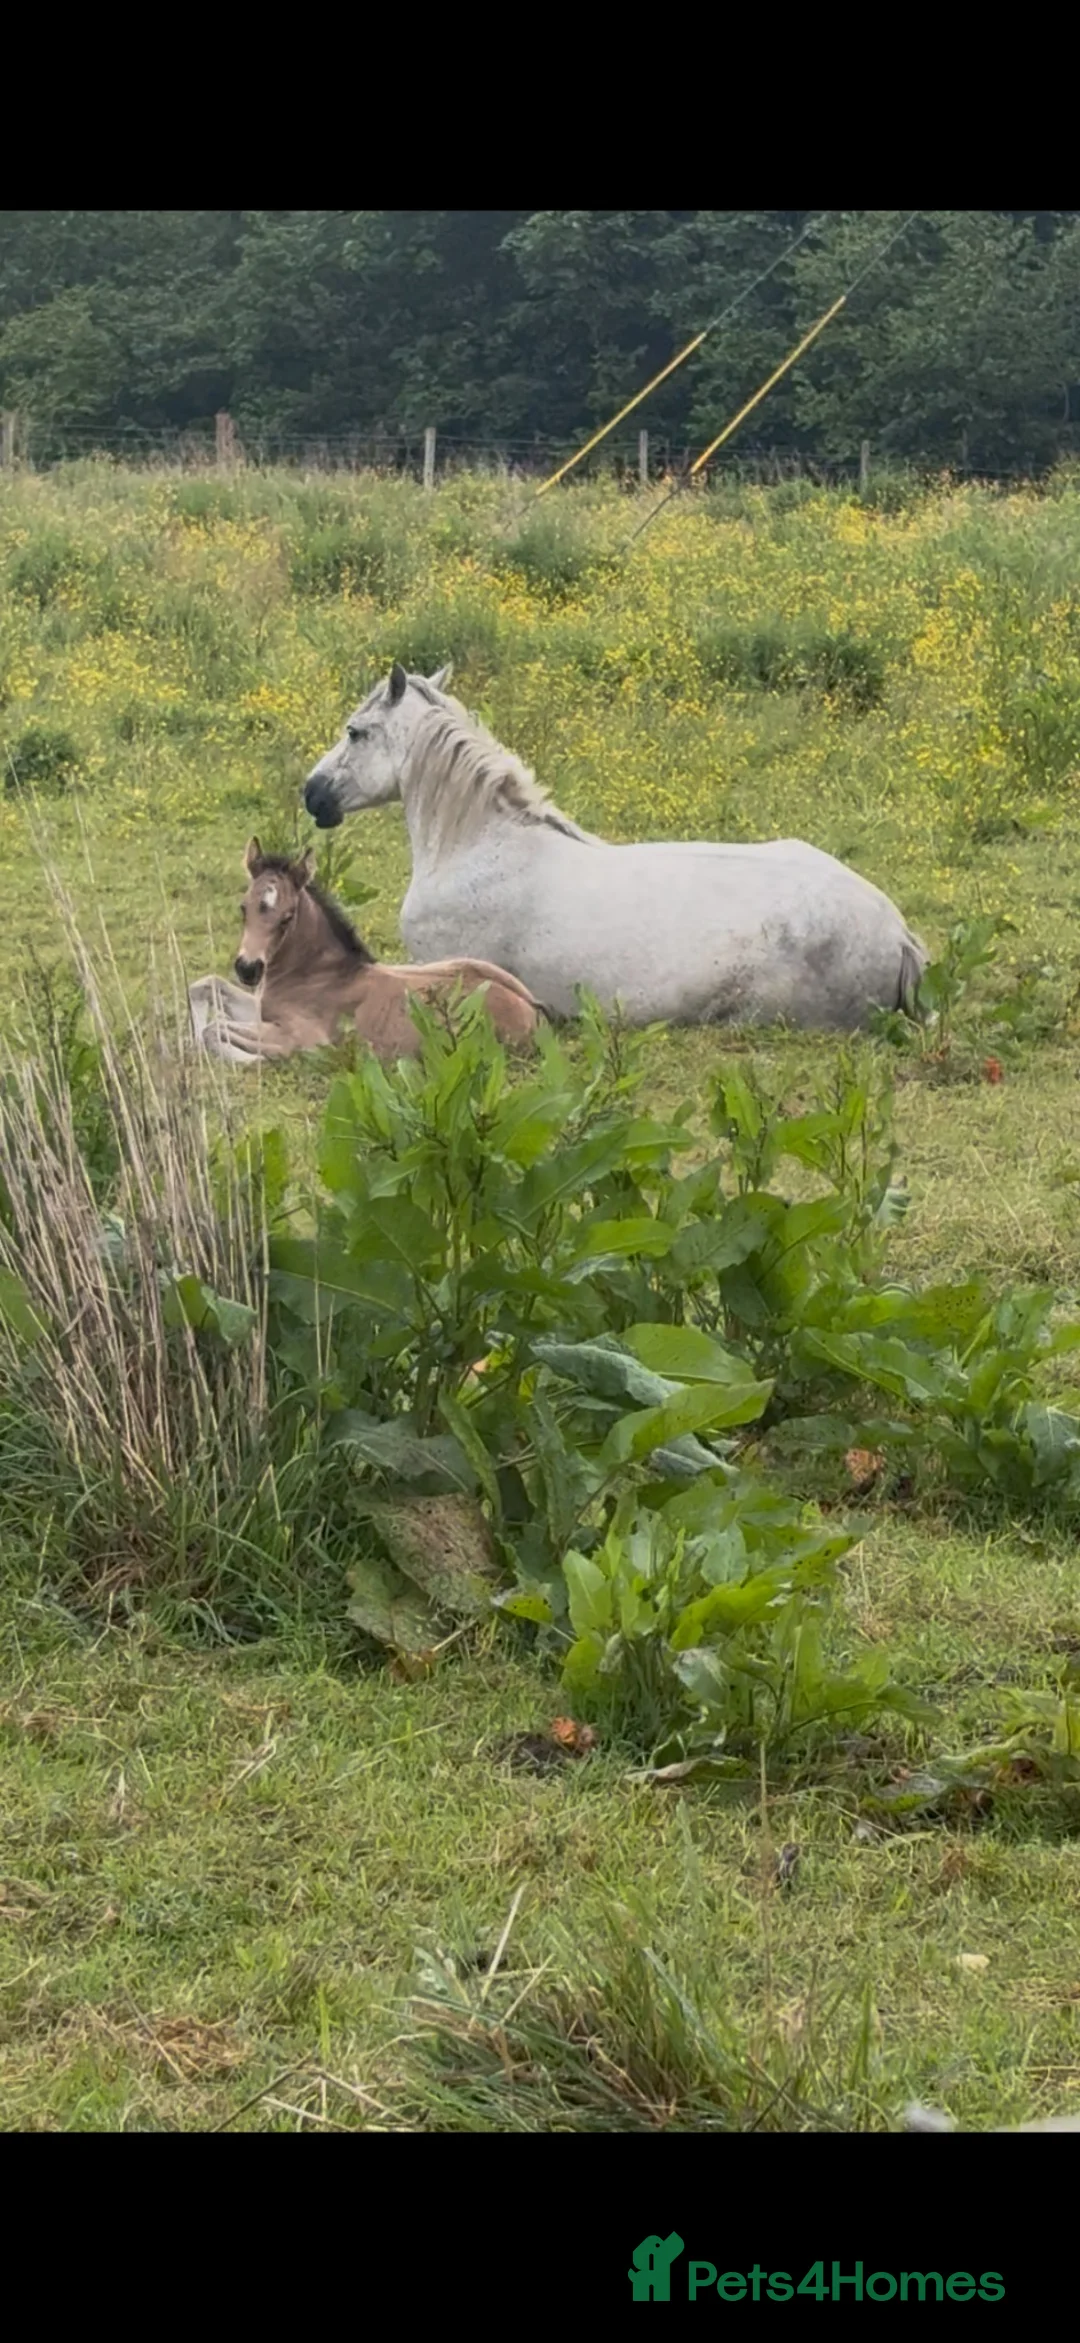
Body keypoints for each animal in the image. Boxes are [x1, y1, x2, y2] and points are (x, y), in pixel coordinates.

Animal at [188, 838, 542, 1067]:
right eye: (243, 908)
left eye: (287, 917)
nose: (248, 968)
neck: (315, 975)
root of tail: (533, 1011)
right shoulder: (263, 1008)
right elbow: (206, 987)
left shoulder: (303, 1036)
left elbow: (216, 1028)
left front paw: (255, 1059)